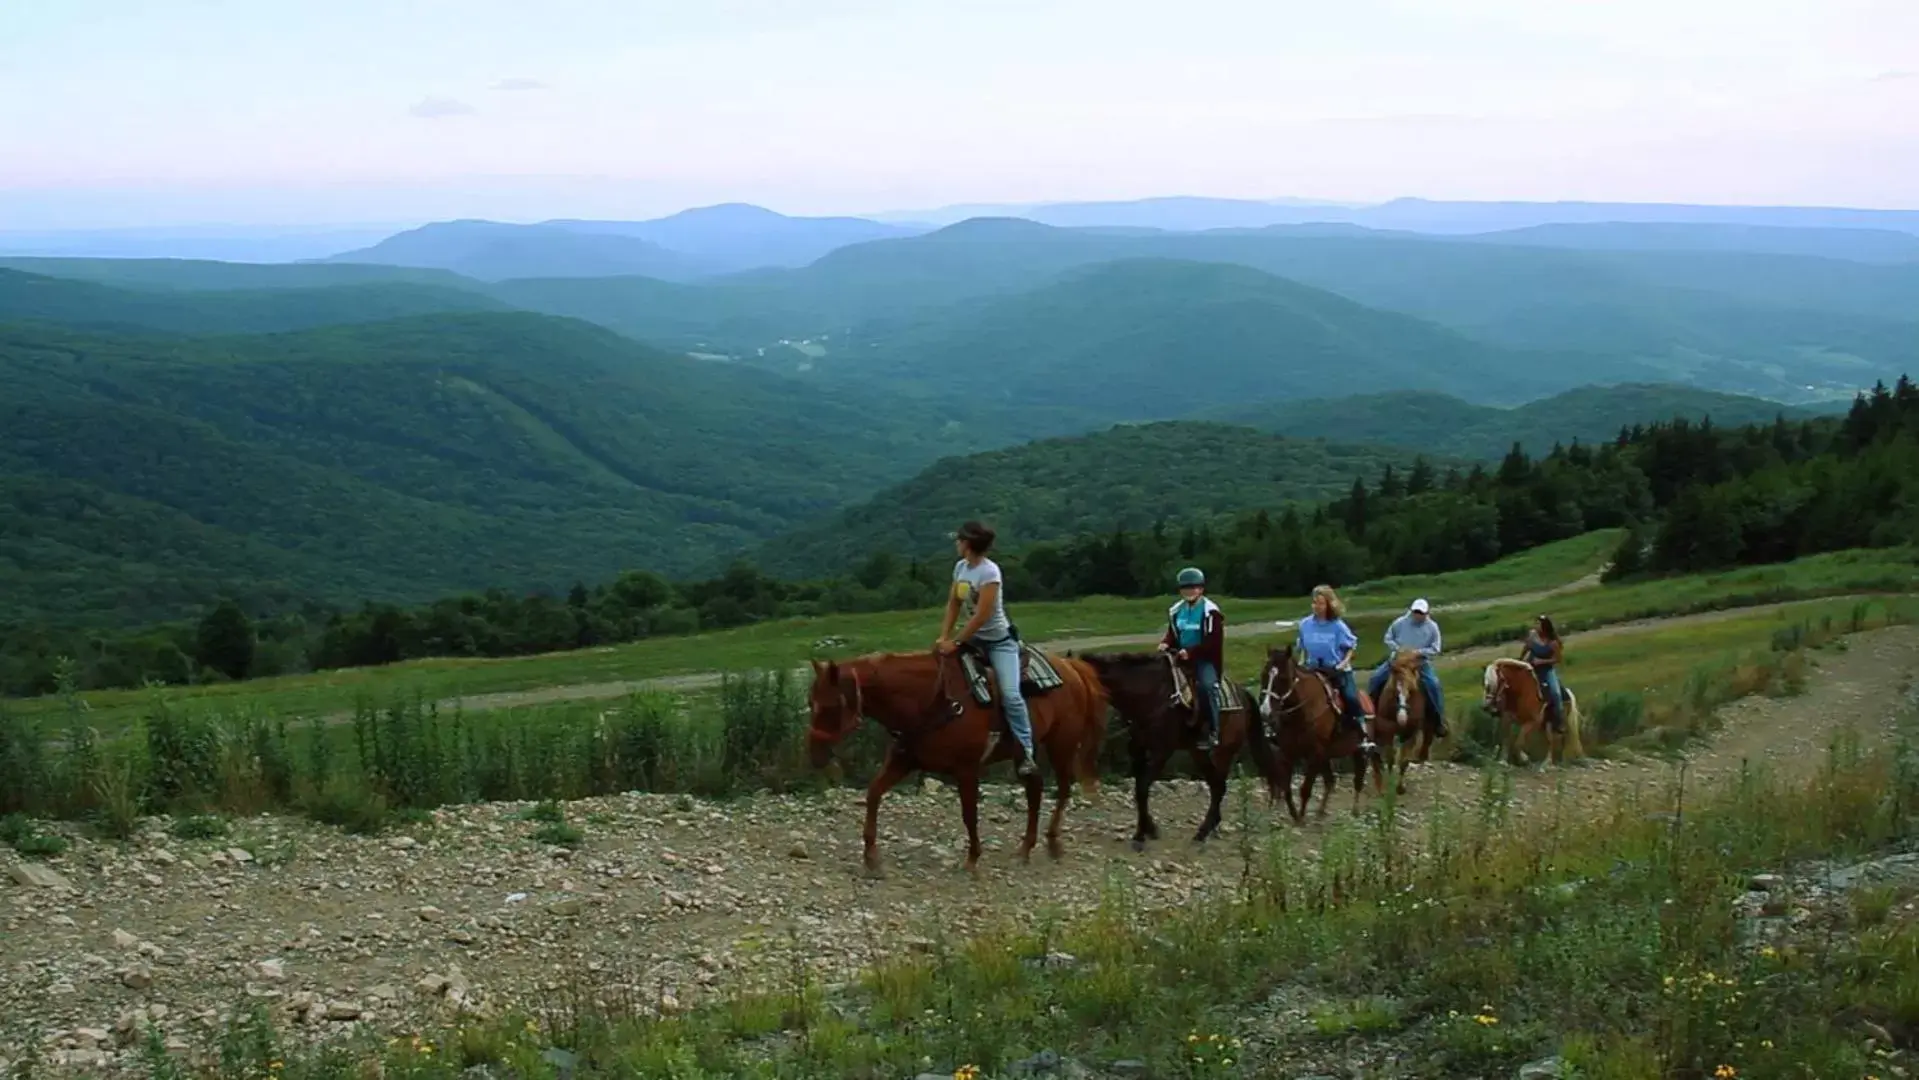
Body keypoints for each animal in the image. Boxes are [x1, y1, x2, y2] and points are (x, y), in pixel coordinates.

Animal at [805, 652, 1113, 878]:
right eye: (811, 703)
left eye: (831, 706)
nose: (814, 754)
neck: (930, 700)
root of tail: (1071, 666)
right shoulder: (903, 761)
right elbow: (873, 794)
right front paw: (871, 857)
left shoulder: (966, 770)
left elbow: (969, 813)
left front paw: (972, 859)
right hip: (1026, 751)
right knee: (1035, 790)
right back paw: (1026, 849)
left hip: (1062, 744)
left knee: (1062, 789)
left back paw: (1053, 843)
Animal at [1082, 652, 1274, 855]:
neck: (1150, 694)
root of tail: (1243, 694)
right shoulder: (1137, 749)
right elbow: (1139, 789)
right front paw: (1149, 830)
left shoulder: (1162, 751)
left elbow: (1142, 788)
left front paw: (1141, 836)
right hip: (1198, 752)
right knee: (1216, 784)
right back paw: (1210, 828)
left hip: (1224, 751)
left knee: (1219, 786)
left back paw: (1202, 832)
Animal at [1243, 648, 1381, 824]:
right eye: (1263, 675)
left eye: (1283, 678)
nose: (1265, 712)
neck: (1304, 712)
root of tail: (1367, 700)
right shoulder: (1288, 753)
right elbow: (1286, 787)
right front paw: (1295, 815)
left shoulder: (1314, 754)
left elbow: (1305, 788)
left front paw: (1301, 818)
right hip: (1326, 757)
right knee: (1330, 781)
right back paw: (1320, 813)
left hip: (1359, 752)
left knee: (1358, 779)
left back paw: (1355, 811)